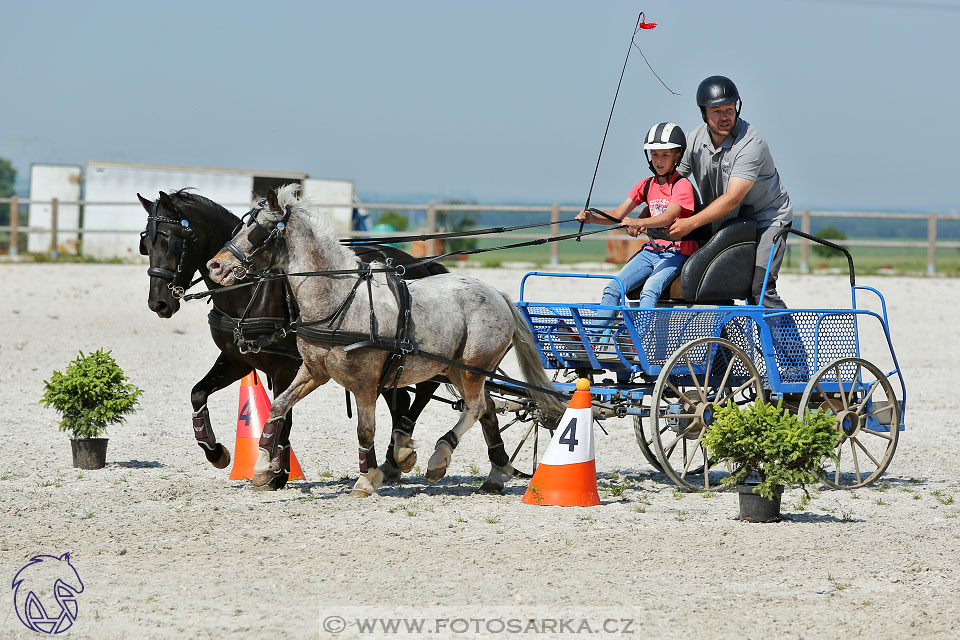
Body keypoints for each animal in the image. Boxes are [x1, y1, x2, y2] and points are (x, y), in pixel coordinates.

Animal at [139, 190, 446, 490]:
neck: (252, 290)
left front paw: (276, 473)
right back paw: (393, 460)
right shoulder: (237, 360)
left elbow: (283, 417)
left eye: (171, 241)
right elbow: (198, 393)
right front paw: (216, 452)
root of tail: (424, 265)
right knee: (401, 398)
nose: (158, 303)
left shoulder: (285, 366)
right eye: (146, 244)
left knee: (424, 390)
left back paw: (404, 455)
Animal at [206, 184, 560, 496]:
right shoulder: (313, 372)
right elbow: (278, 407)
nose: (215, 265)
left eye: (257, 230)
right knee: (485, 408)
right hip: (458, 369)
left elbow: (365, 430)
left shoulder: (364, 382)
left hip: (473, 366)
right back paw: (495, 474)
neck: (339, 300)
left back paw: (437, 458)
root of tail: (498, 295)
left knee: (473, 407)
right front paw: (263, 466)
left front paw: (367, 479)